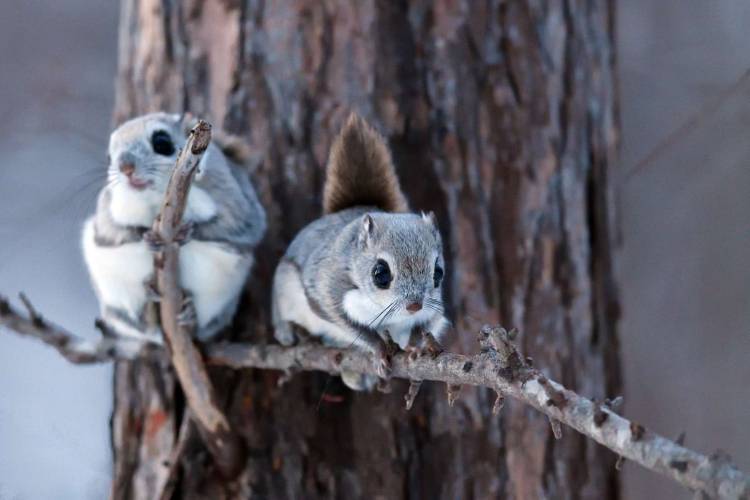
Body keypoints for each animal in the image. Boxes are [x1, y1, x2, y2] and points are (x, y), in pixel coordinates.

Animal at [83, 112, 268, 344]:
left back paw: (191, 314)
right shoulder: (106, 212)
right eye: (109, 157)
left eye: (162, 143)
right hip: (115, 292)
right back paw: (147, 309)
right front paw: (146, 237)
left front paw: (188, 232)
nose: (125, 167)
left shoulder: (236, 202)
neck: (156, 200)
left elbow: (243, 226)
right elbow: (111, 233)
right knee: (139, 324)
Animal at [274, 114, 450, 390]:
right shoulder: (328, 290)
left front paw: (416, 346)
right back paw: (289, 332)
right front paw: (378, 349)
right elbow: (349, 324)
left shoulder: (435, 309)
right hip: (285, 286)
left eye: (438, 273)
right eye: (380, 274)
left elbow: (425, 325)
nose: (414, 305)